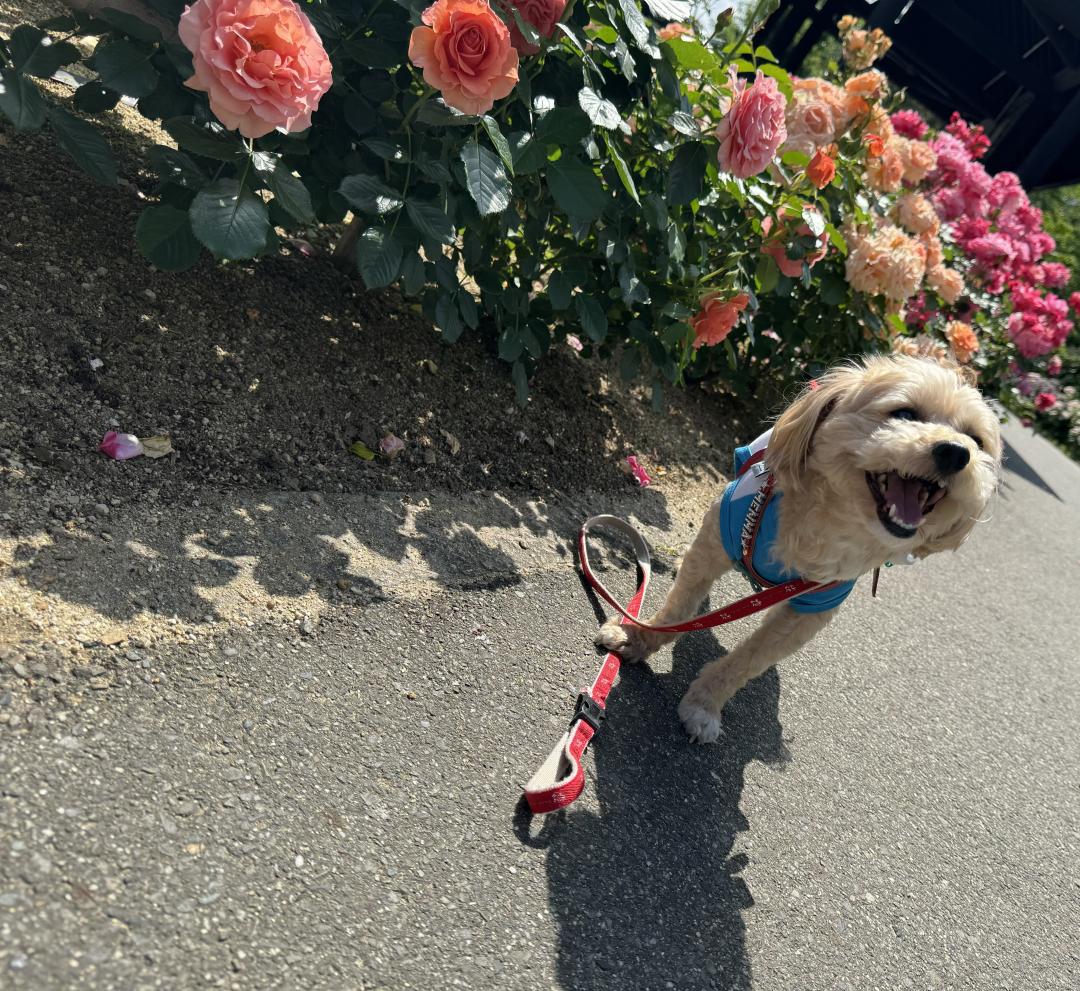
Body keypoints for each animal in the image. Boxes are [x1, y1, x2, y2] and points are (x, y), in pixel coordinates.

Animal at [596, 356, 997, 742]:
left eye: (976, 440)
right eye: (904, 413)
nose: (956, 453)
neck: (830, 523)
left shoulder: (814, 606)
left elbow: (748, 660)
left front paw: (705, 705)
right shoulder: (718, 536)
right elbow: (678, 608)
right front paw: (636, 636)